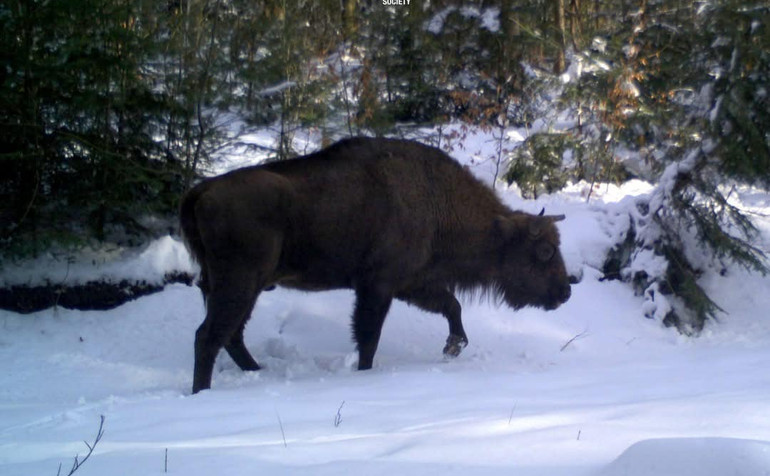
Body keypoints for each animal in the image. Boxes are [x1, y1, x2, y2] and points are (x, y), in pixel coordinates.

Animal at [178, 136, 564, 392]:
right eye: (544, 251)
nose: (564, 292)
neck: (436, 200)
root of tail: (201, 192)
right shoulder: (378, 287)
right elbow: (369, 337)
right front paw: (365, 373)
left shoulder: (411, 283)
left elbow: (451, 306)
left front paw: (453, 346)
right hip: (240, 283)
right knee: (208, 336)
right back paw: (203, 392)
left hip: (235, 286)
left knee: (230, 335)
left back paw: (255, 373)